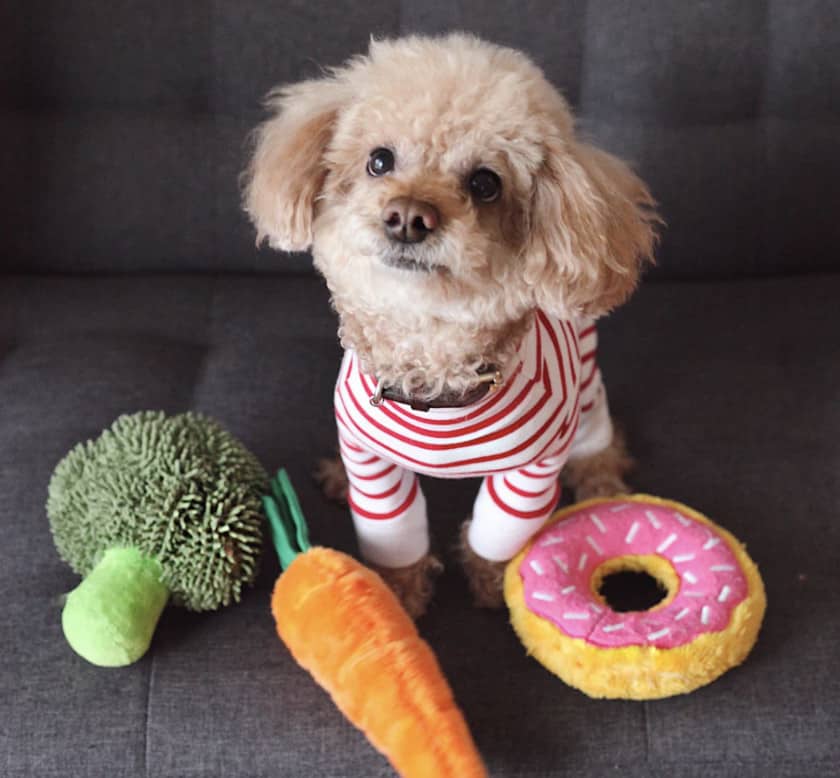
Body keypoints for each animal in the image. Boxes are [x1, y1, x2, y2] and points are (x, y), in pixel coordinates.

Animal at [246, 34, 660, 620]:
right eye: (379, 161)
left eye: (485, 183)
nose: (407, 216)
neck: (433, 367)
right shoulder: (371, 462)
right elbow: (393, 537)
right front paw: (394, 599)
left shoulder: (530, 472)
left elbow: (497, 533)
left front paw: (492, 584)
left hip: (585, 384)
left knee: (599, 438)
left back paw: (601, 479)